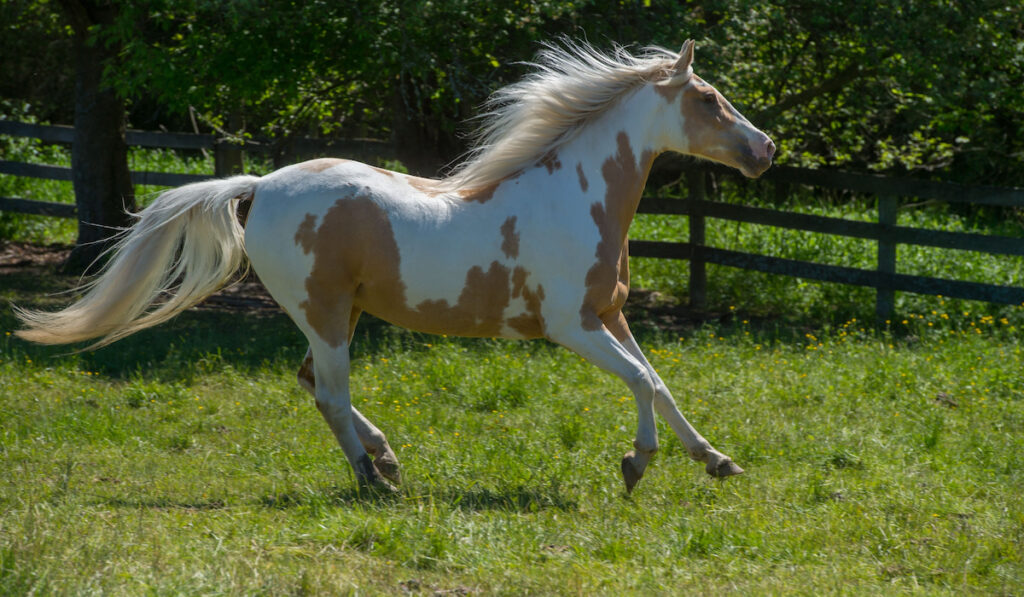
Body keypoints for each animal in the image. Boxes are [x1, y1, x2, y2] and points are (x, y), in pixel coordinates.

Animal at [16, 38, 770, 495]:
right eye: (708, 99)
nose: (765, 149)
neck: (577, 197)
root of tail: (259, 185)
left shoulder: (610, 314)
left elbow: (660, 384)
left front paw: (718, 461)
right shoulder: (571, 325)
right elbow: (641, 382)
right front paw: (634, 465)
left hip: (336, 313)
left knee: (312, 382)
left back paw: (384, 457)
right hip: (323, 312)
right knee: (329, 391)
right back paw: (374, 478)